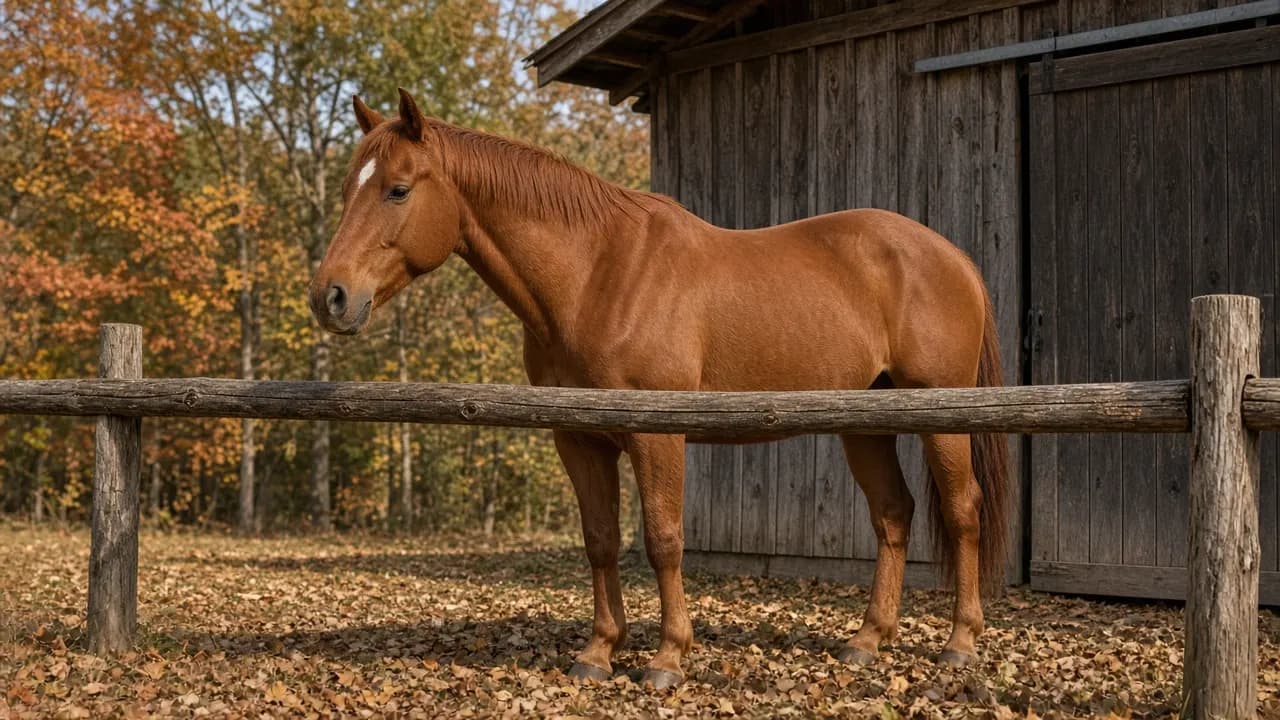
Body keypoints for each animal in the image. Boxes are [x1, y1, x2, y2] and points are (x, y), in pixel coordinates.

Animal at [309, 89, 1010, 689]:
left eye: (398, 189)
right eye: (346, 190)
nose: (331, 297)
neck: (598, 274)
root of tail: (954, 258)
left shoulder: (658, 434)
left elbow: (664, 540)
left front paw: (668, 658)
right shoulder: (579, 439)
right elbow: (599, 540)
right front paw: (599, 652)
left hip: (941, 419)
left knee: (961, 512)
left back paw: (960, 643)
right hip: (866, 423)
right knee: (892, 514)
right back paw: (867, 640)